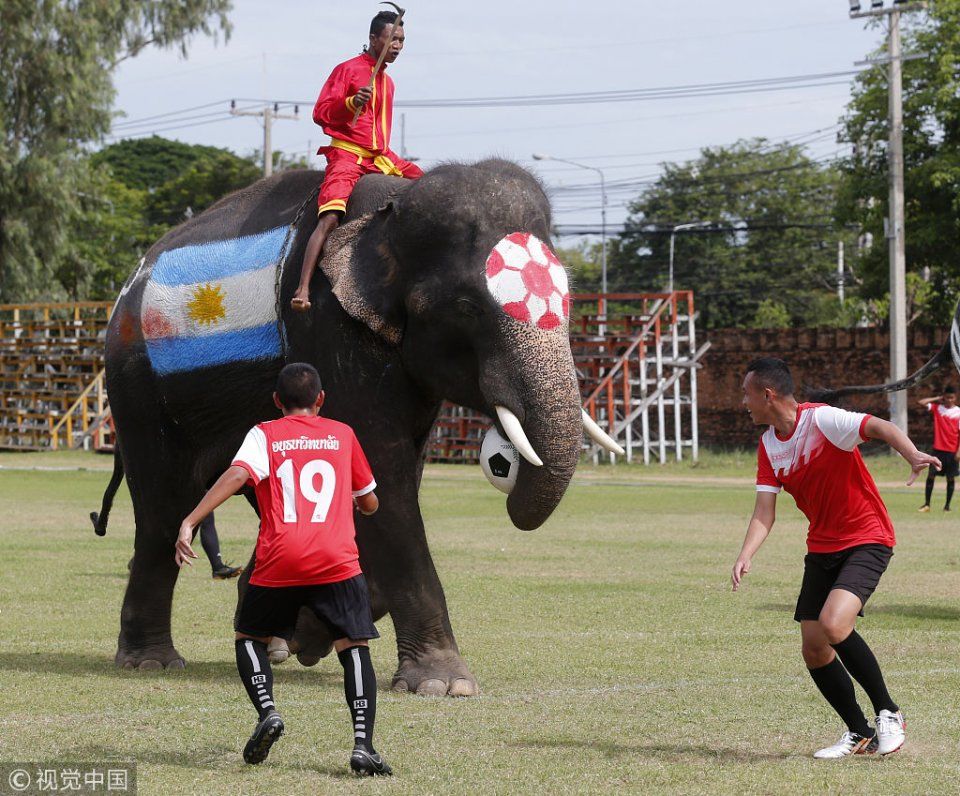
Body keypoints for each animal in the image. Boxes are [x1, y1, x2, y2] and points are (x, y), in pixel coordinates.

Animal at [97, 159, 624, 692]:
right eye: (466, 308)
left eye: (570, 300)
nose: (508, 473)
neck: (393, 206)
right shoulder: (329, 325)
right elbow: (382, 472)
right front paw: (443, 684)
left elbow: (382, 482)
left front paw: (312, 631)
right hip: (137, 388)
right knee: (164, 509)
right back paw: (152, 661)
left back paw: (268, 634)